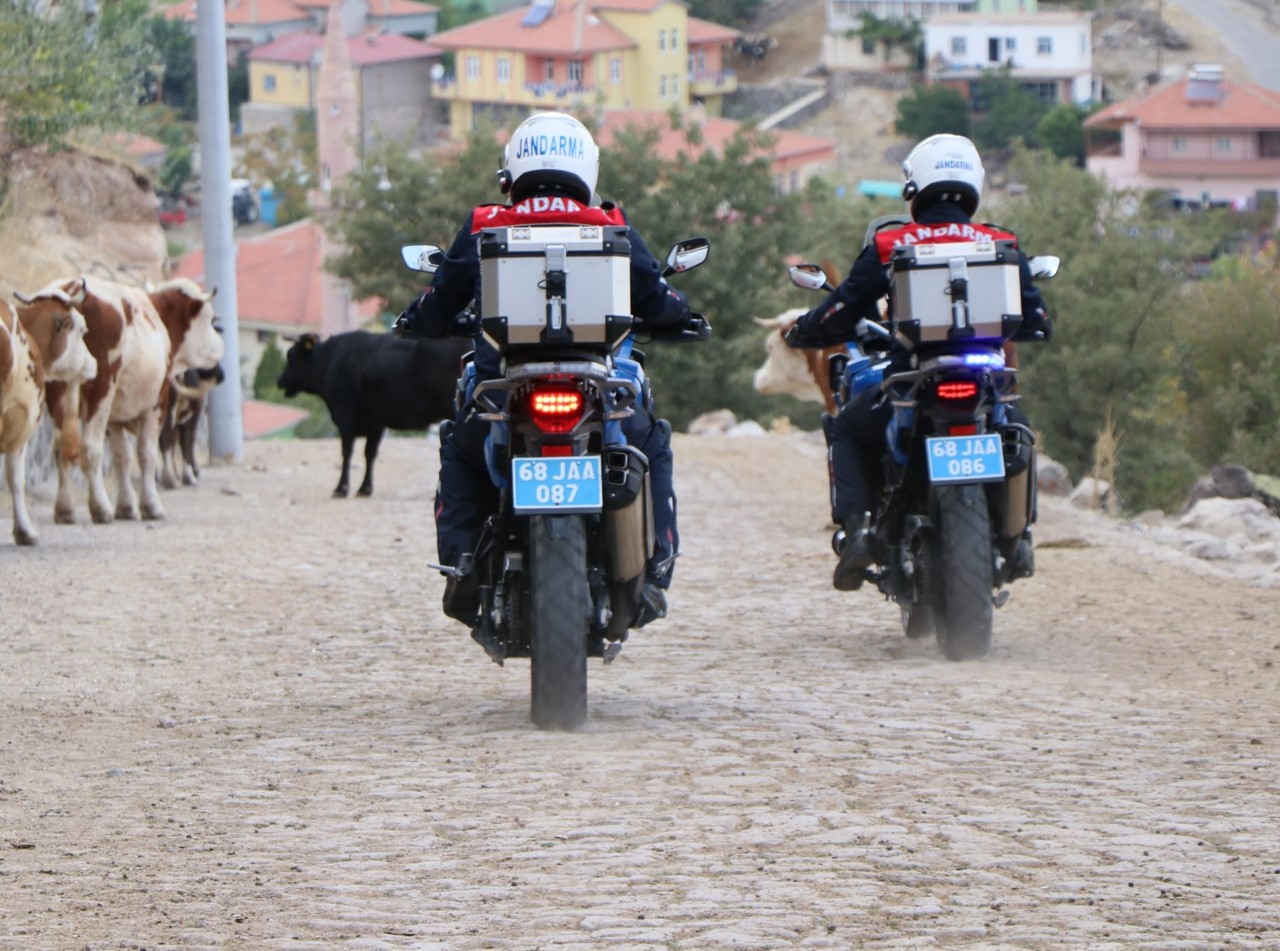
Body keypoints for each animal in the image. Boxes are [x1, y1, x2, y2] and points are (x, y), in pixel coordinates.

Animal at [20, 275, 224, 527]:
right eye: (209, 318)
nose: (221, 345)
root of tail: (72, 286)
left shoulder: (115, 415)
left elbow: (122, 457)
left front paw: (126, 506)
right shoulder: (157, 403)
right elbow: (147, 453)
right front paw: (151, 505)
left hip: (60, 391)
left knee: (62, 447)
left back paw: (65, 509)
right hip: (100, 390)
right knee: (91, 447)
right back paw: (100, 507)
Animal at [277, 330, 468, 499]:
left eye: (291, 356)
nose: (279, 381)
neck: (330, 360)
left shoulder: (346, 416)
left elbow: (347, 453)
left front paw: (341, 488)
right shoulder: (376, 422)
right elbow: (370, 454)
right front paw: (365, 489)